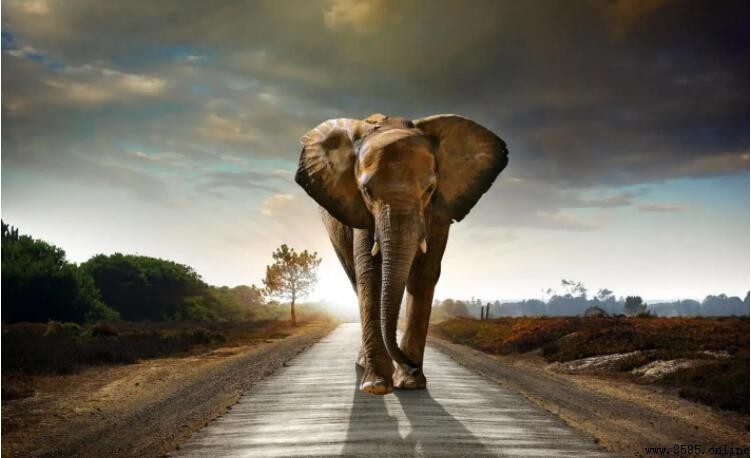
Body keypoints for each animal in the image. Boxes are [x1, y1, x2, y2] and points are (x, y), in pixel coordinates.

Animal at [295, 113, 508, 395]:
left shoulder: (439, 211)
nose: (411, 365)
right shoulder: (360, 212)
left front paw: (410, 383)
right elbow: (370, 274)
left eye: (430, 189)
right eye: (366, 191)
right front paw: (376, 386)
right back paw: (364, 366)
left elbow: (424, 275)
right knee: (355, 280)